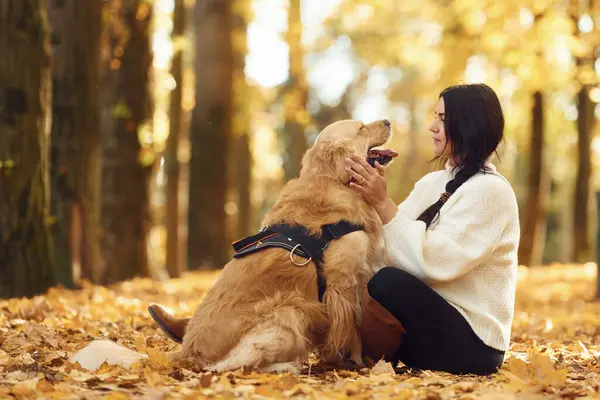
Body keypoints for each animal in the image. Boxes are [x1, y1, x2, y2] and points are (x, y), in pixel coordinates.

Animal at [159, 119, 396, 376]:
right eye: (361, 128)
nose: (388, 121)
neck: (333, 182)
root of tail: (187, 355)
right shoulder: (342, 282)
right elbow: (353, 326)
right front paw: (352, 361)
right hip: (289, 307)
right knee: (234, 366)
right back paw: (288, 366)